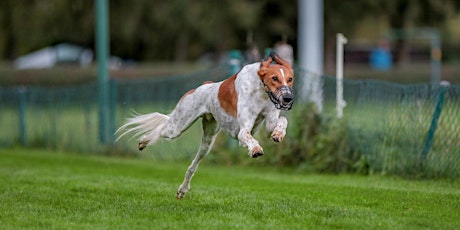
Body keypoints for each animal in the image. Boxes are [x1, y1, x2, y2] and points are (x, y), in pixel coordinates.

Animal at [116, 52, 294, 199]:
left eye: (290, 79)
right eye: (274, 78)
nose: (287, 98)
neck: (261, 91)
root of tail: (203, 85)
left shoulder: (269, 121)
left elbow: (282, 122)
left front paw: (279, 134)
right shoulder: (242, 131)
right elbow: (247, 136)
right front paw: (256, 149)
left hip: (207, 142)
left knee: (192, 166)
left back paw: (182, 190)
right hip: (177, 126)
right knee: (162, 127)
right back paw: (144, 141)